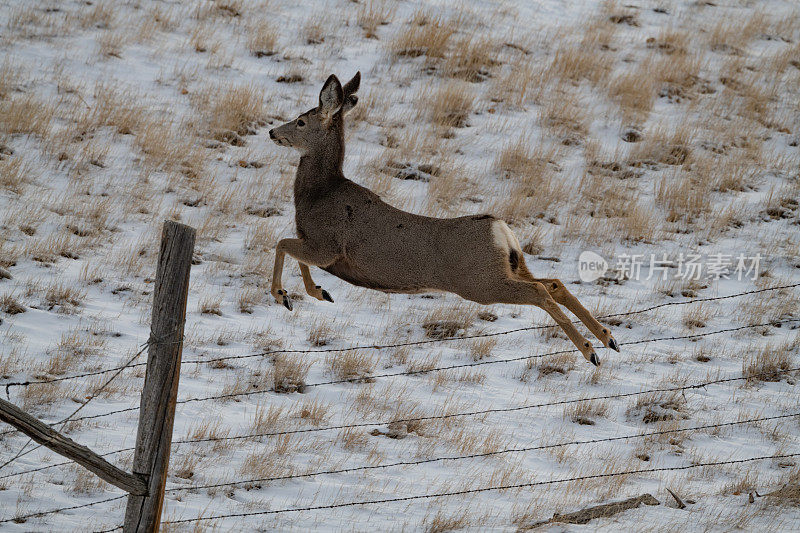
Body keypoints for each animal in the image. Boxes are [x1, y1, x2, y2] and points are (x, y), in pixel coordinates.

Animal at [268, 72, 620, 364]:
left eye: (300, 121)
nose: (272, 131)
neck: (319, 193)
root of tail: (500, 229)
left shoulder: (327, 244)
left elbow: (282, 243)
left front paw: (284, 296)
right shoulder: (317, 246)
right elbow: (293, 251)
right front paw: (319, 292)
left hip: (481, 283)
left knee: (540, 291)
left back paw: (590, 351)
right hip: (510, 267)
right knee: (555, 283)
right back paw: (608, 338)